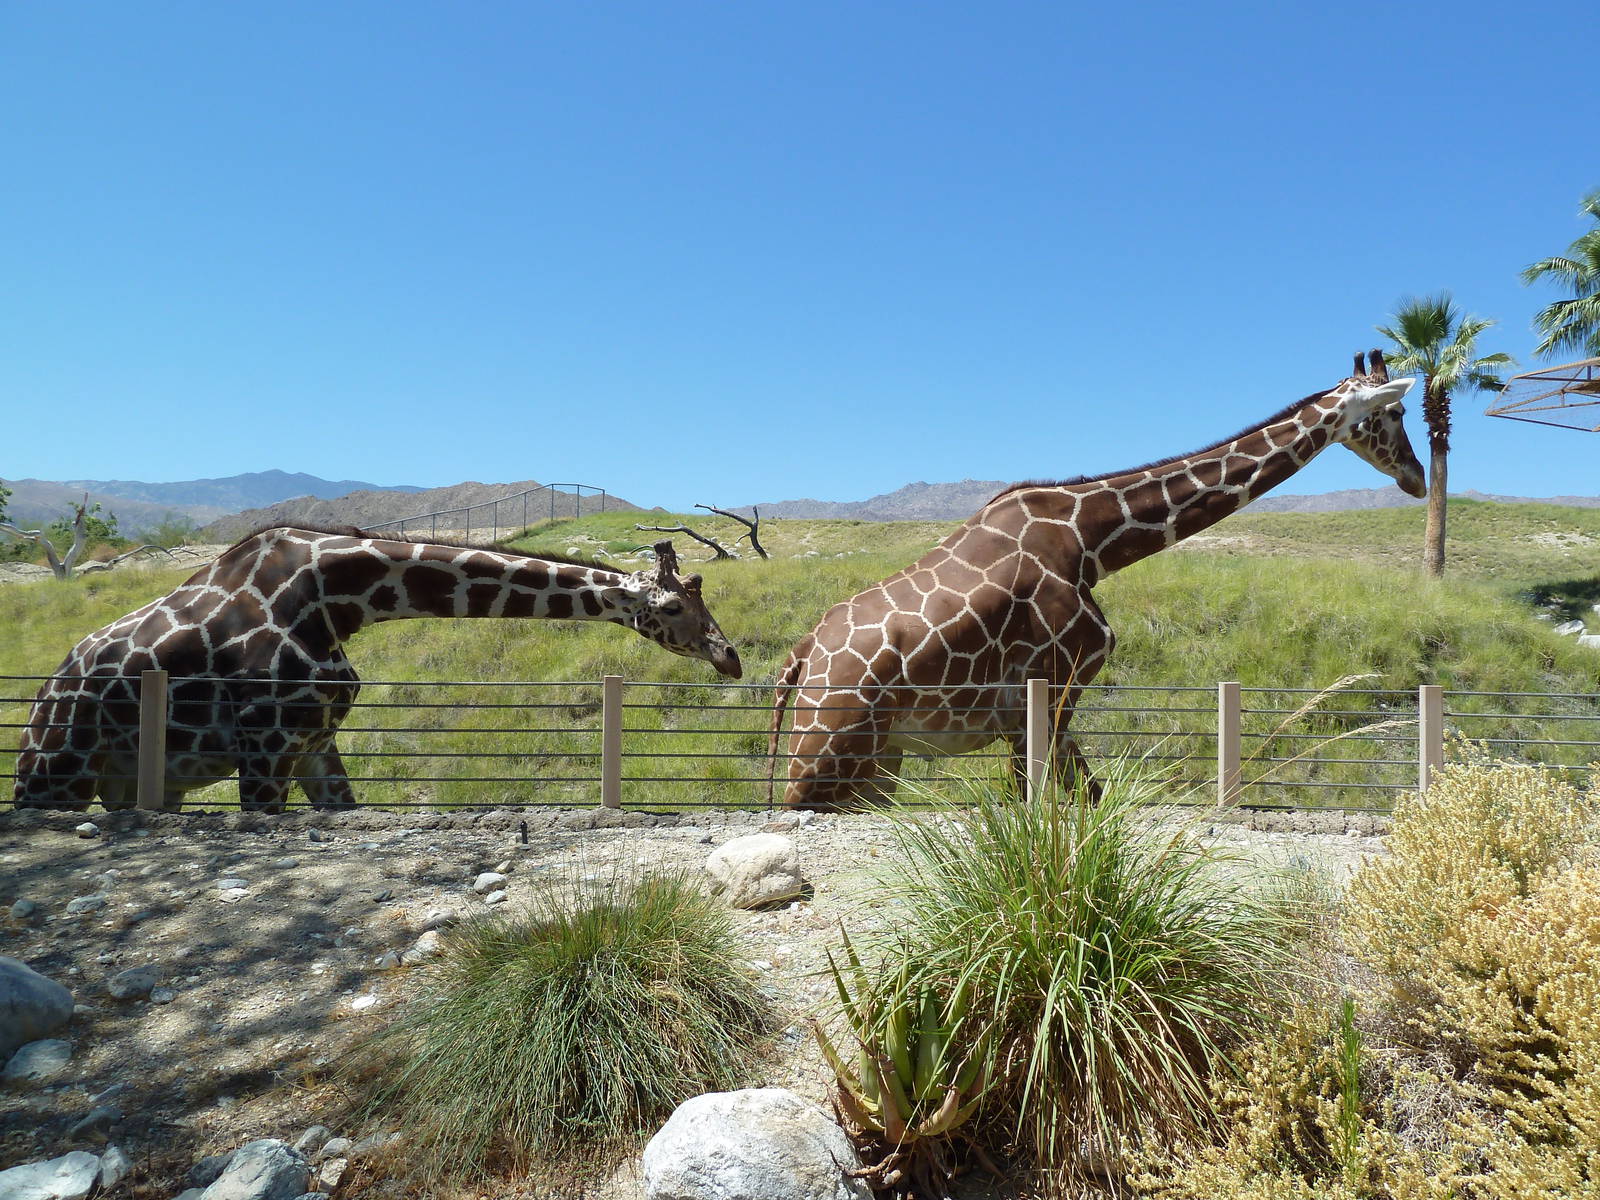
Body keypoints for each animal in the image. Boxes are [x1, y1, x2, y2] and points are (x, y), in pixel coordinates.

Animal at [12, 526, 740, 813]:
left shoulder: (314, 743)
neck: (336, 602)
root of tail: (46, 690)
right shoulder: (264, 745)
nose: (729, 657)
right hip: (57, 773)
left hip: (142, 784)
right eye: (673, 605)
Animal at [768, 352, 1426, 810]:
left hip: (881, 762)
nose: (1418, 478)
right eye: (1393, 412)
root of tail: (798, 659)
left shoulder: (1037, 713)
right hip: (828, 756)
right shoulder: (1053, 691)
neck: (1089, 543)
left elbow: (1082, 800)